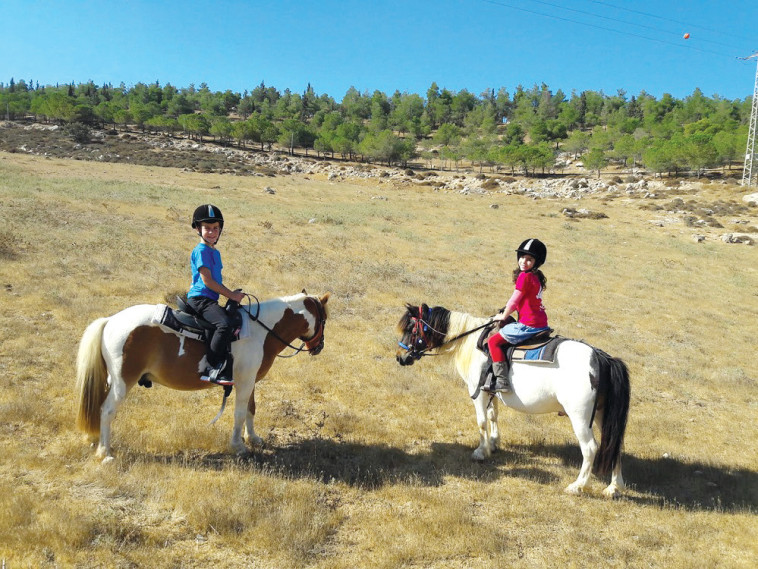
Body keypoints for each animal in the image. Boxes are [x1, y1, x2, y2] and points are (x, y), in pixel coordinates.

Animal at [74, 290, 330, 460]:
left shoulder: (250, 381)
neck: (261, 331)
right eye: (324, 319)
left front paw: (254, 438)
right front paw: (238, 445)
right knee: (107, 411)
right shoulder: (244, 381)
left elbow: (250, 409)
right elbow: (239, 413)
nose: (319, 347)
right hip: (122, 383)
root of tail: (110, 321)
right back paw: (105, 453)